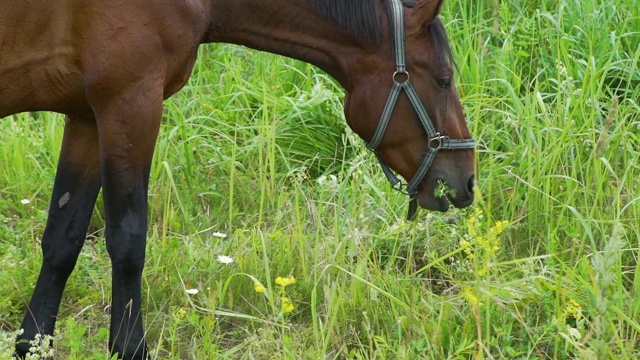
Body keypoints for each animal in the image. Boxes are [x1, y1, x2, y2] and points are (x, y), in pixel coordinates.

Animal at [1, 0, 476, 358]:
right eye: (443, 79)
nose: (468, 180)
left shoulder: (86, 117)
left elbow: (62, 238)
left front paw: (30, 345)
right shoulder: (129, 104)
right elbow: (128, 242)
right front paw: (130, 348)